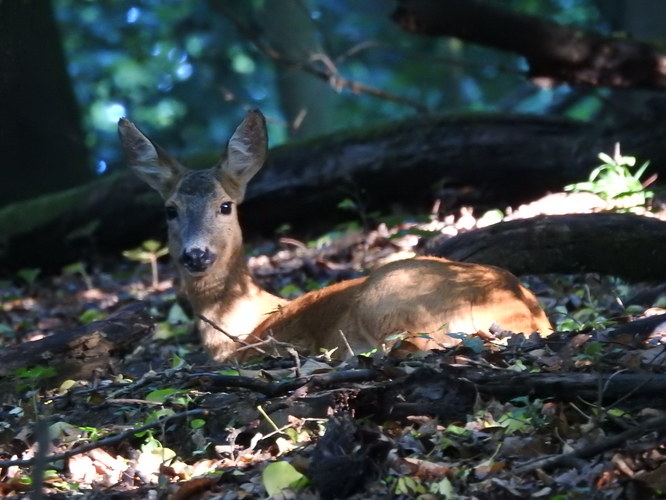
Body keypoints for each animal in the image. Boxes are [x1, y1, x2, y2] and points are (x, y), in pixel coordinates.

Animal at [118, 109, 548, 362]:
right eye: (170, 210)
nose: (196, 254)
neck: (244, 324)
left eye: (226, 206)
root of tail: (526, 314)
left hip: (390, 299)